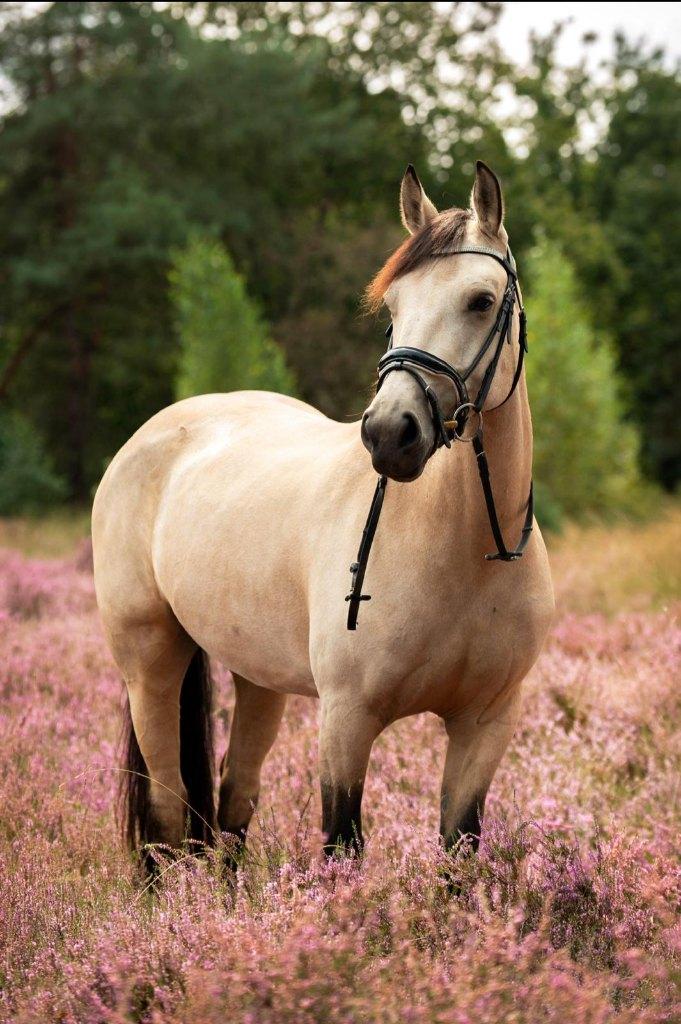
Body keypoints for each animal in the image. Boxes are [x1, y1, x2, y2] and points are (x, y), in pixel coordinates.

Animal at [91, 161, 554, 871]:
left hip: (258, 678)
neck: (467, 550)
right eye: (393, 307)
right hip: (150, 666)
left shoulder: (486, 725)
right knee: (167, 815)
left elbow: (459, 851)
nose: (390, 434)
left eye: (480, 300)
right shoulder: (347, 720)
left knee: (233, 805)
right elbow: (343, 847)